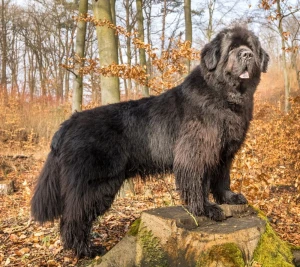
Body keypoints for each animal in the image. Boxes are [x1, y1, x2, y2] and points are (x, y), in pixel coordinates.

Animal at [31, 26, 270, 258]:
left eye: (250, 47)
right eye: (232, 48)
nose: (246, 54)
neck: (225, 98)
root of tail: (68, 123)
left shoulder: (224, 152)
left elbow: (222, 178)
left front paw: (229, 198)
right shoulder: (196, 151)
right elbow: (198, 182)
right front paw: (206, 209)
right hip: (95, 184)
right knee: (74, 217)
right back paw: (85, 251)